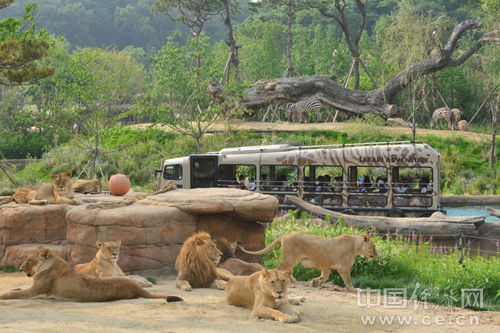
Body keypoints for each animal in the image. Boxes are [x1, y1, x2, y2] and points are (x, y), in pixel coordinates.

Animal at [0, 246, 183, 300]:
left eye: (30, 260)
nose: (20, 269)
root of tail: (132, 285)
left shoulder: (36, 289)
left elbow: (15, 294)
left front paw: (4, 295)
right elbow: (16, 289)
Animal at [237, 231, 376, 290]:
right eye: (374, 246)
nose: (376, 254)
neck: (356, 246)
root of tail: (284, 235)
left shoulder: (327, 266)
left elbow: (324, 277)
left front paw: (315, 282)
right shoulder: (344, 268)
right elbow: (348, 280)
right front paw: (354, 289)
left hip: (291, 260)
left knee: (286, 271)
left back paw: (294, 280)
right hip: (290, 258)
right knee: (278, 270)